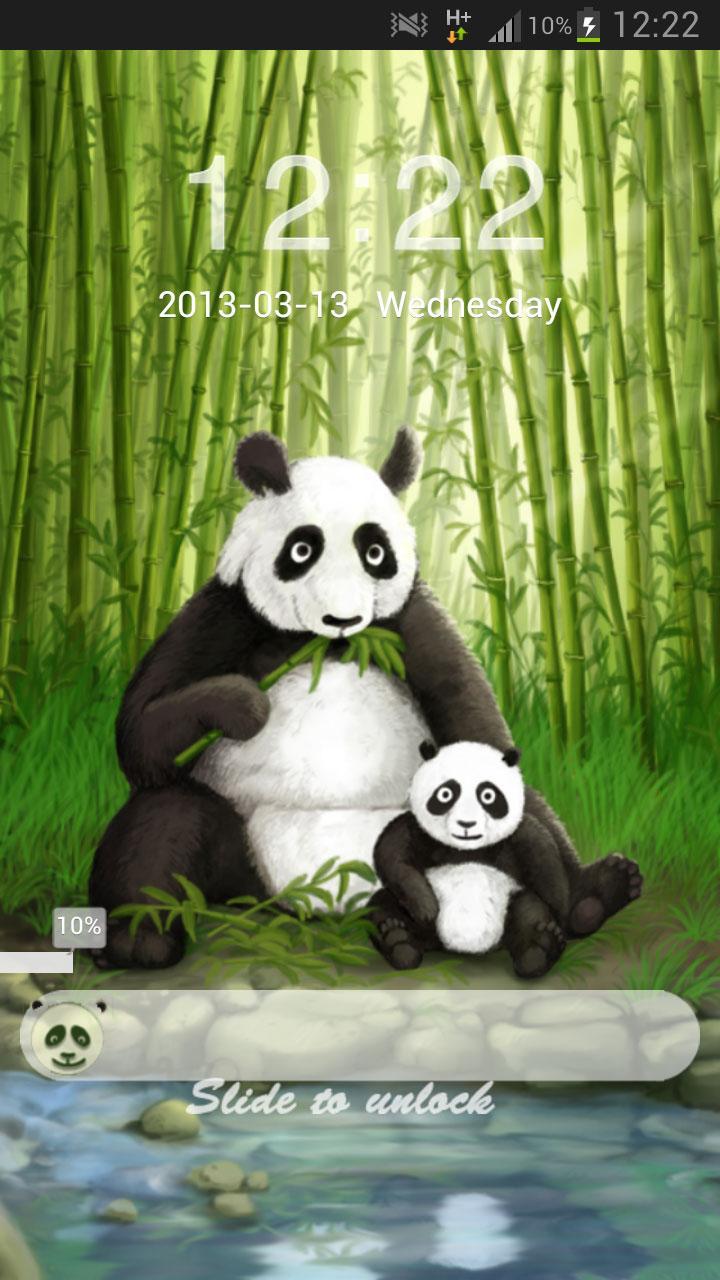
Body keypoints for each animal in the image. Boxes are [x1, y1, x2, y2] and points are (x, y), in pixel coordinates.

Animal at [90, 427, 642, 969]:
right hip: (238, 844)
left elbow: (473, 718)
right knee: (163, 823)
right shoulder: (226, 612)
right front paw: (244, 706)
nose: (343, 618)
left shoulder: (411, 623)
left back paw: (588, 899)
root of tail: (326, 902)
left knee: (534, 816)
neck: (325, 645)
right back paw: (141, 939)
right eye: (301, 550)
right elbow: (141, 733)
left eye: (375, 553)